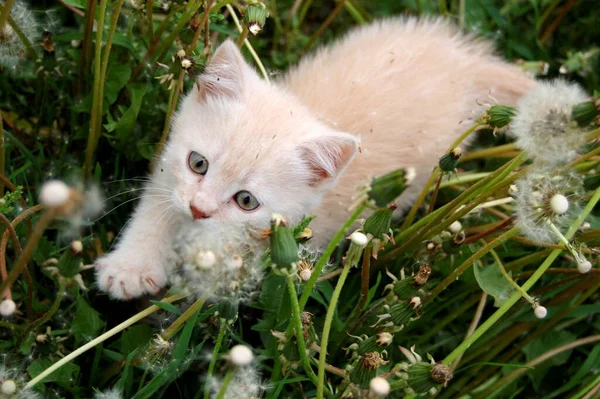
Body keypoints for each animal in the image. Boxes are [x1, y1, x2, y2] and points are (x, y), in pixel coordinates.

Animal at [94, 18, 536, 300]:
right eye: (198, 163)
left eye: (246, 201)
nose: (199, 210)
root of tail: (467, 60)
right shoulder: (168, 170)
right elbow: (156, 208)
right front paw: (131, 267)